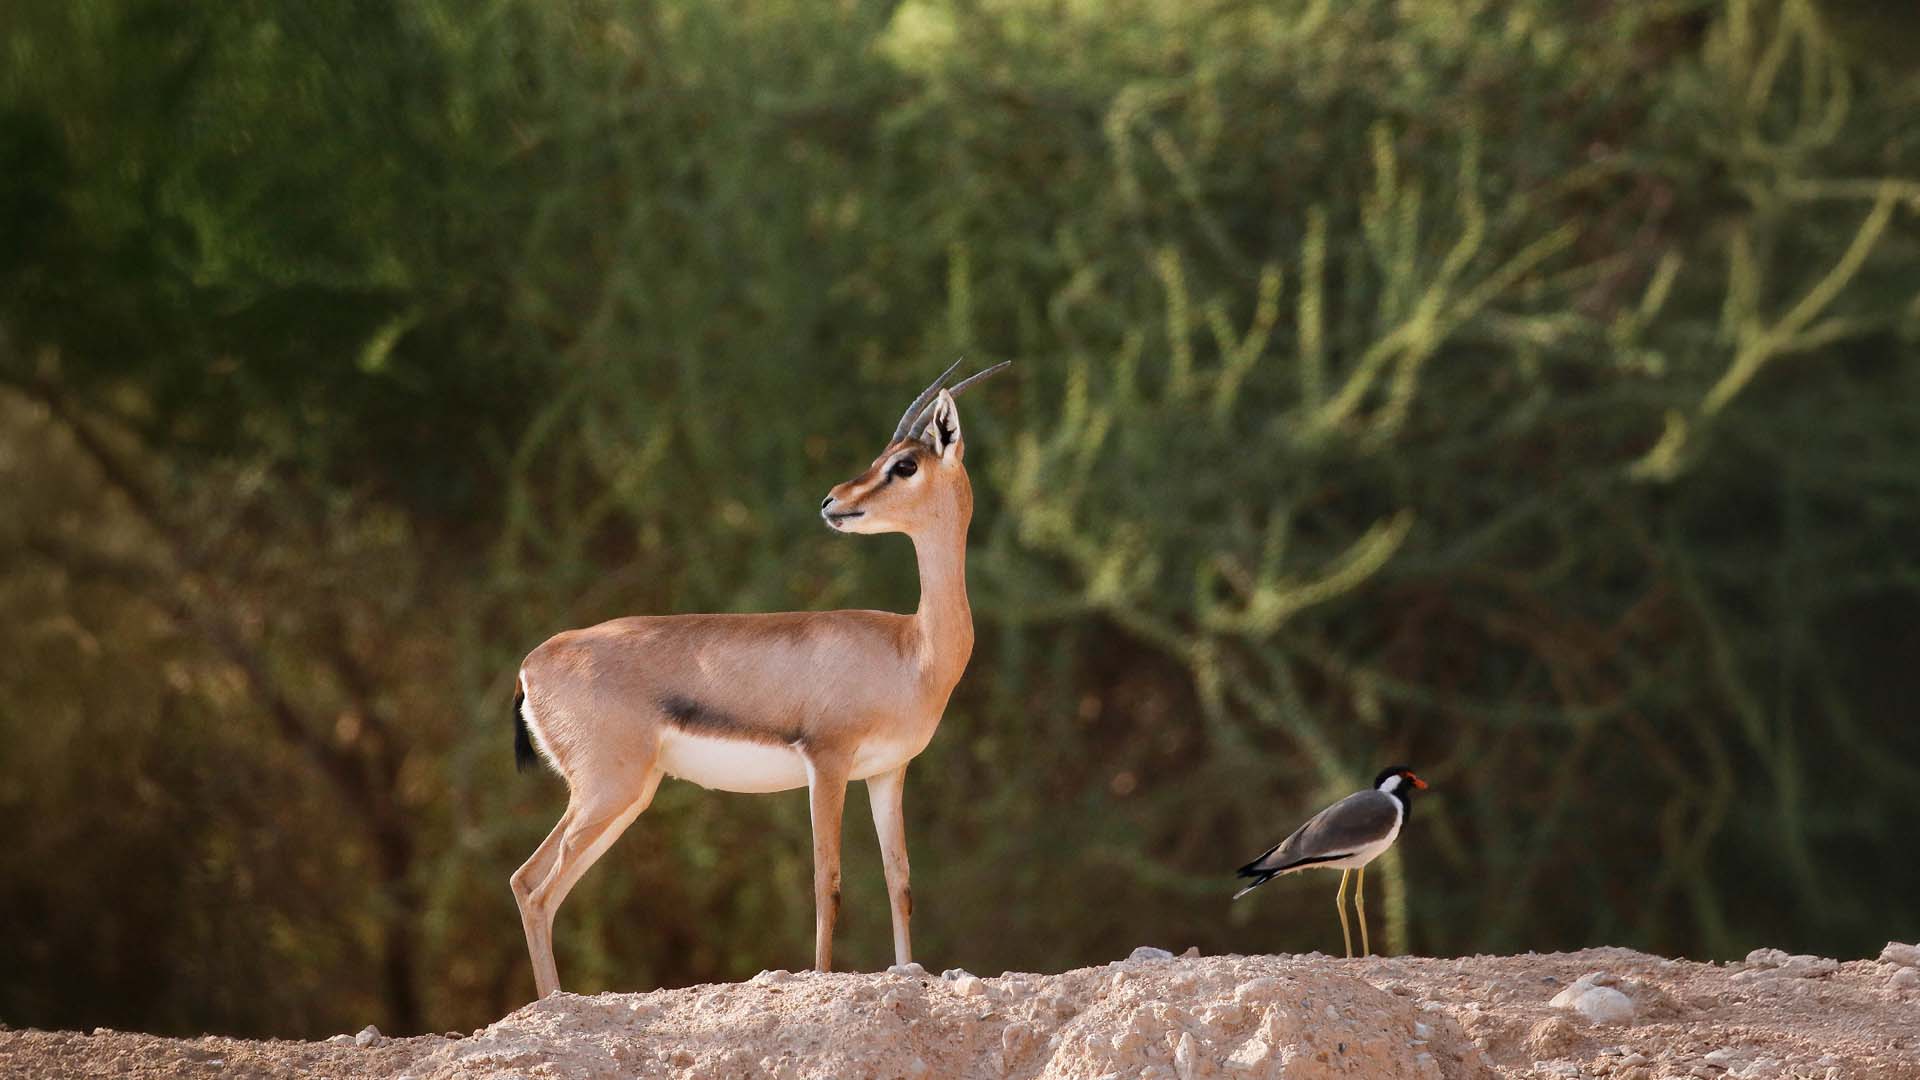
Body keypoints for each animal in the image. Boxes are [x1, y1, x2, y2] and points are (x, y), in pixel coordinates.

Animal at [508, 359, 1008, 998]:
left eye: (904, 463)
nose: (832, 501)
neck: (912, 649)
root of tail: (532, 664)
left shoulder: (887, 771)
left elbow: (899, 881)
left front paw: (907, 972)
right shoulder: (828, 761)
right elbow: (827, 881)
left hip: (621, 795)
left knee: (533, 884)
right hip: (607, 790)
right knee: (537, 887)